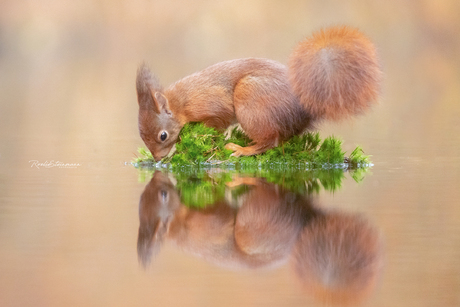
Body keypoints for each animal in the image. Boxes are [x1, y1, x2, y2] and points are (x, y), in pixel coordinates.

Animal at [137, 26, 380, 161]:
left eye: (162, 135)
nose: (156, 159)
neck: (180, 103)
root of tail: (305, 106)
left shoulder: (210, 104)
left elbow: (218, 121)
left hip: (250, 97)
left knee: (270, 142)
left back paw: (243, 149)